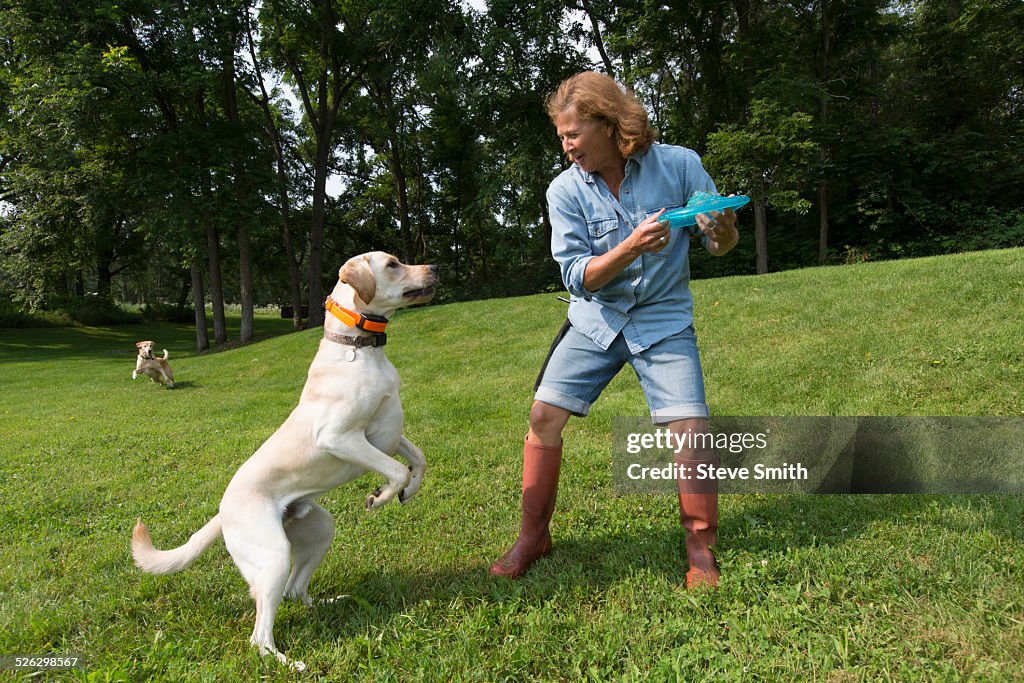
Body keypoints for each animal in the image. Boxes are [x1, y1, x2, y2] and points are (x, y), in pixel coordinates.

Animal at [130, 249, 434, 667]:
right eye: (392, 264)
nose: (434, 268)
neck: (359, 347)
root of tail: (222, 511)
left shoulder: (386, 435)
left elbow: (417, 460)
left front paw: (408, 491)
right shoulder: (340, 437)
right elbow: (395, 470)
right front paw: (382, 496)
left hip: (320, 532)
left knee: (294, 591)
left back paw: (326, 603)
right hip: (274, 557)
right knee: (259, 635)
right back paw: (288, 662)